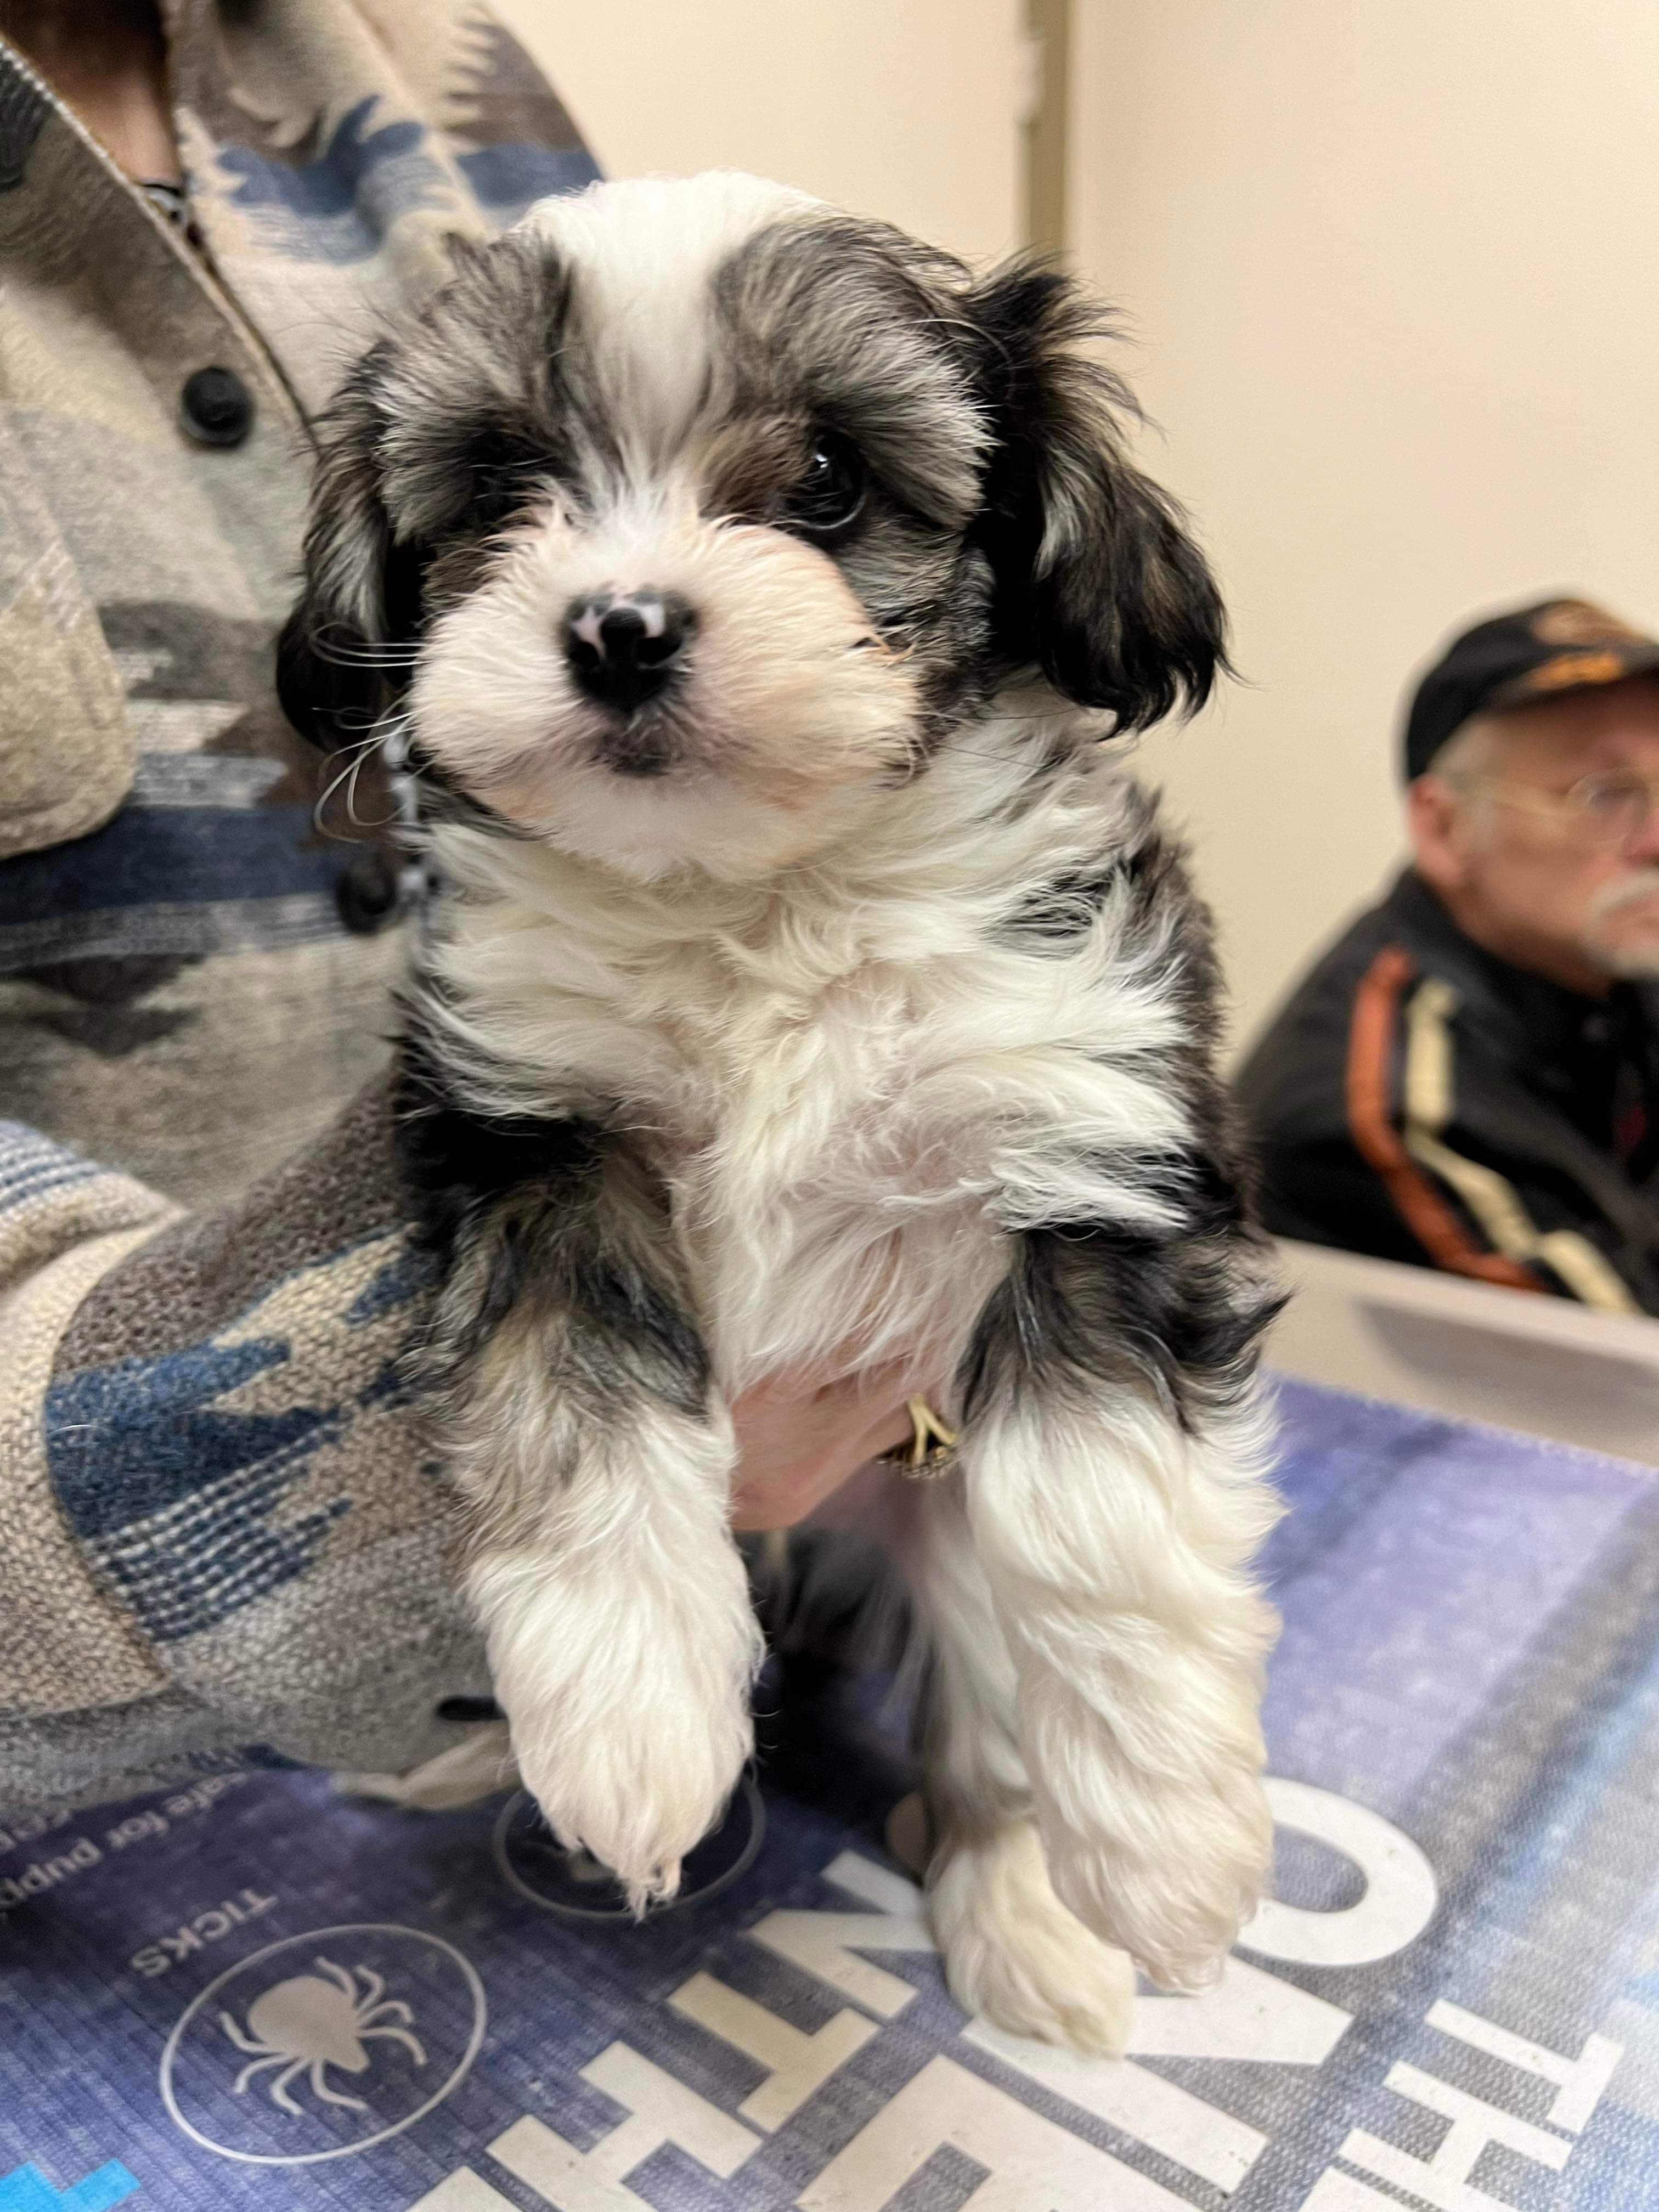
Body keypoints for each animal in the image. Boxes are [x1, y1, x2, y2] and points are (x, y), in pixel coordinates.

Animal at [278, 172, 1283, 2057]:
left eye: (826, 478)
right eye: (503, 487)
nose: (620, 626)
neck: (755, 900)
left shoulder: (1094, 1128)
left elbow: (1103, 1522)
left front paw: (1167, 1841)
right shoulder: (533, 1130)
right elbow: (578, 1400)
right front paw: (627, 1718)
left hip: (944, 1527)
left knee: (988, 1705)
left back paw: (1021, 1908)